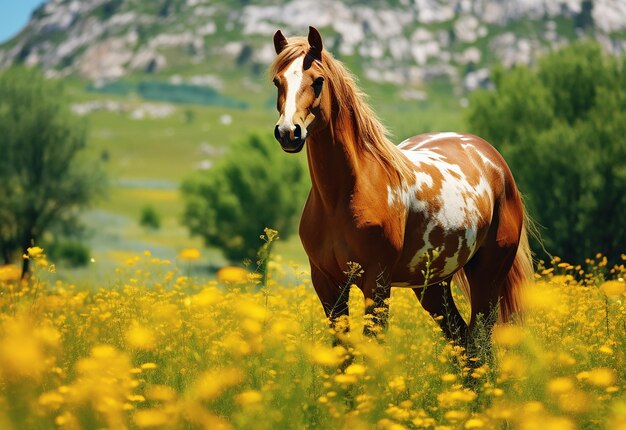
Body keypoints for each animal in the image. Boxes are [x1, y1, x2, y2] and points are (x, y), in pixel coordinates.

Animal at [268, 25, 532, 352]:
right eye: (277, 81)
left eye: (318, 81)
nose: (288, 132)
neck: (342, 196)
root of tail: (494, 161)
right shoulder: (327, 284)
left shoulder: (377, 283)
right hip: (432, 286)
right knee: (463, 342)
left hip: (487, 276)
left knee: (480, 345)